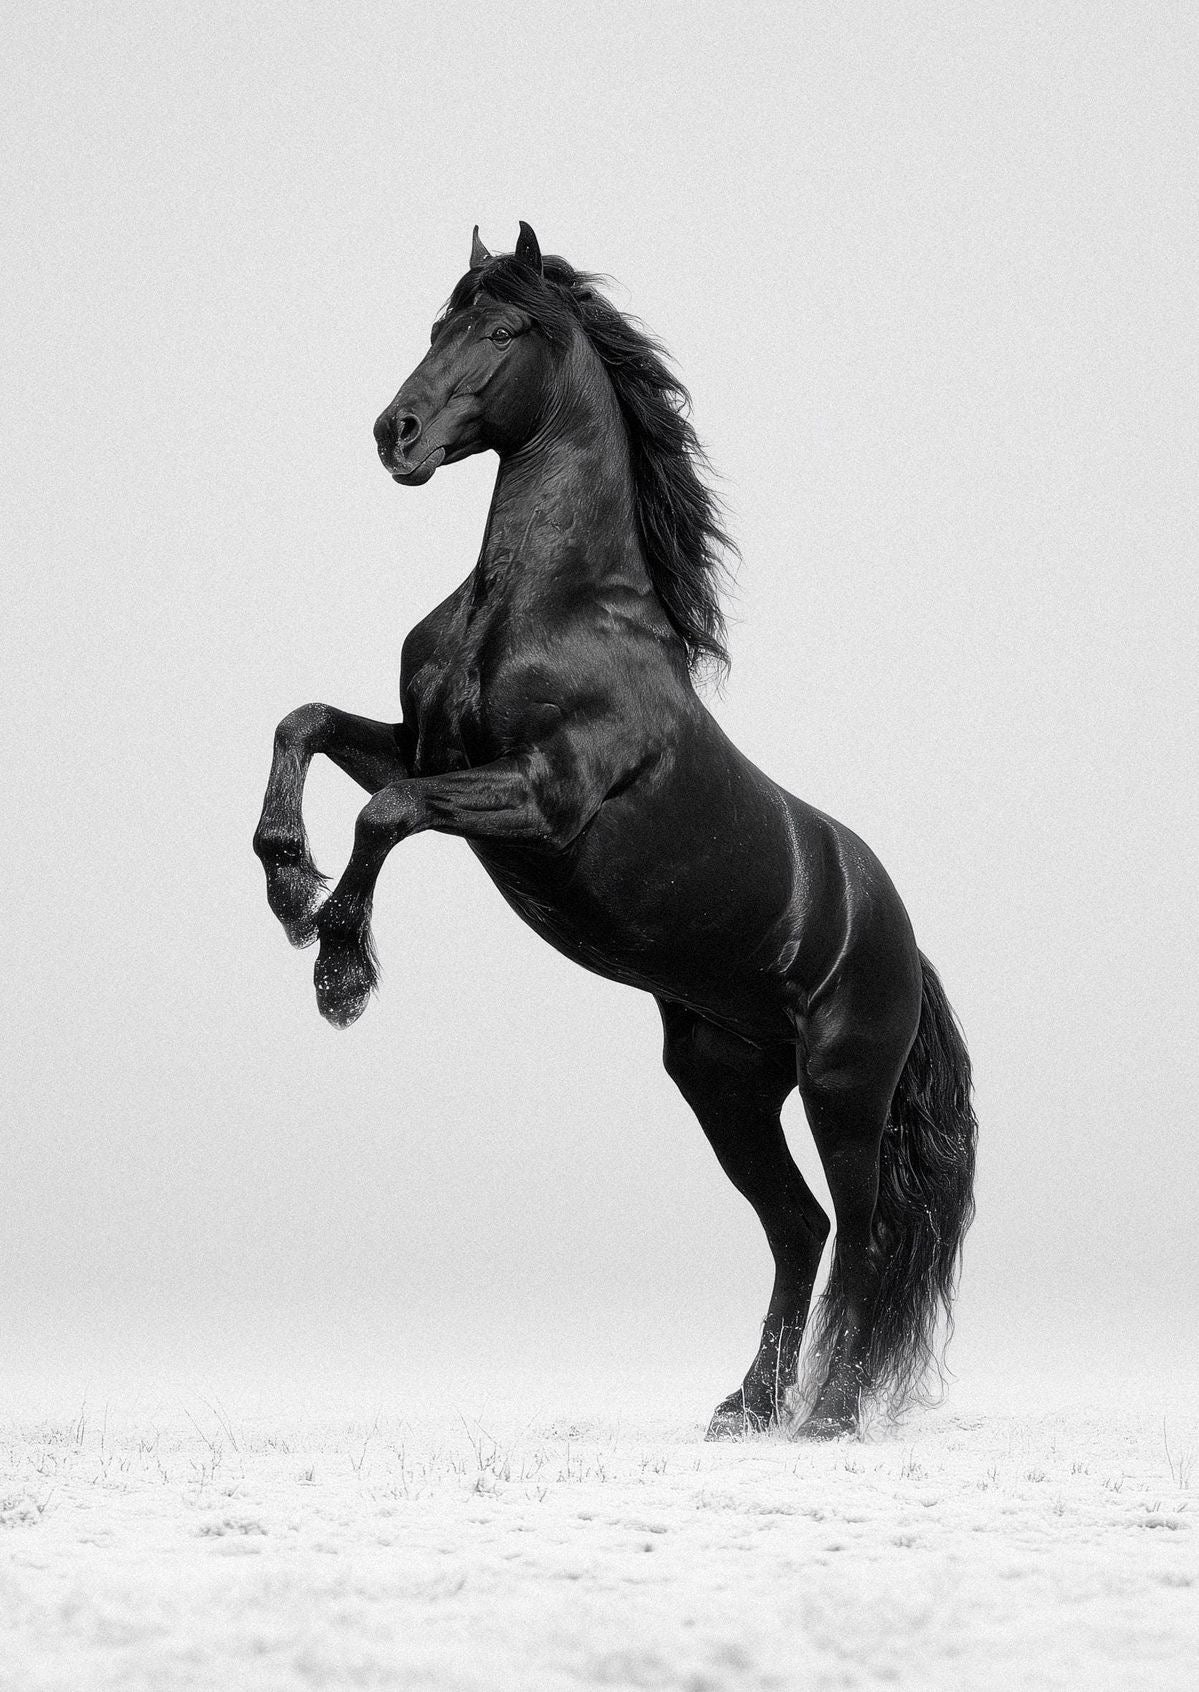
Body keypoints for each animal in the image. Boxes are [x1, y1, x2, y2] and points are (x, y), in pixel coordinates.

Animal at [253, 222, 977, 1439]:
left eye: (501, 329)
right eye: (435, 324)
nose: (395, 433)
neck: (541, 607)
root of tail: (902, 943)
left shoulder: (536, 799)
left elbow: (382, 813)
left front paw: (339, 968)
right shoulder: (424, 749)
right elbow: (304, 725)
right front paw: (284, 881)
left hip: (842, 1088)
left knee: (864, 1236)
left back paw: (827, 1415)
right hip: (722, 1081)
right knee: (798, 1228)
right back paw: (744, 1408)